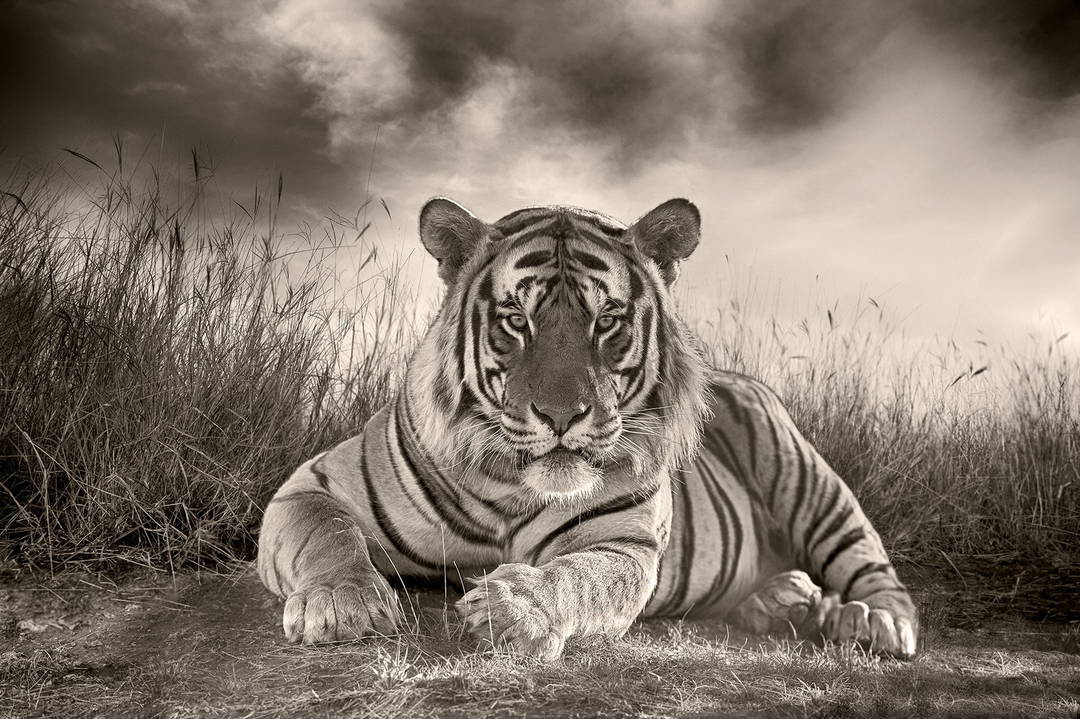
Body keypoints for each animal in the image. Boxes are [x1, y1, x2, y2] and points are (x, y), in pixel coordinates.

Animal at [256, 197, 918, 660]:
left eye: (607, 320)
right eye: (515, 319)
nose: (559, 415)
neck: (508, 487)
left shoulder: (625, 544)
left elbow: (578, 579)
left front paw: (513, 610)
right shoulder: (313, 482)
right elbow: (328, 533)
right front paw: (344, 605)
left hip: (810, 482)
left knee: (876, 571)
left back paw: (871, 624)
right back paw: (785, 600)